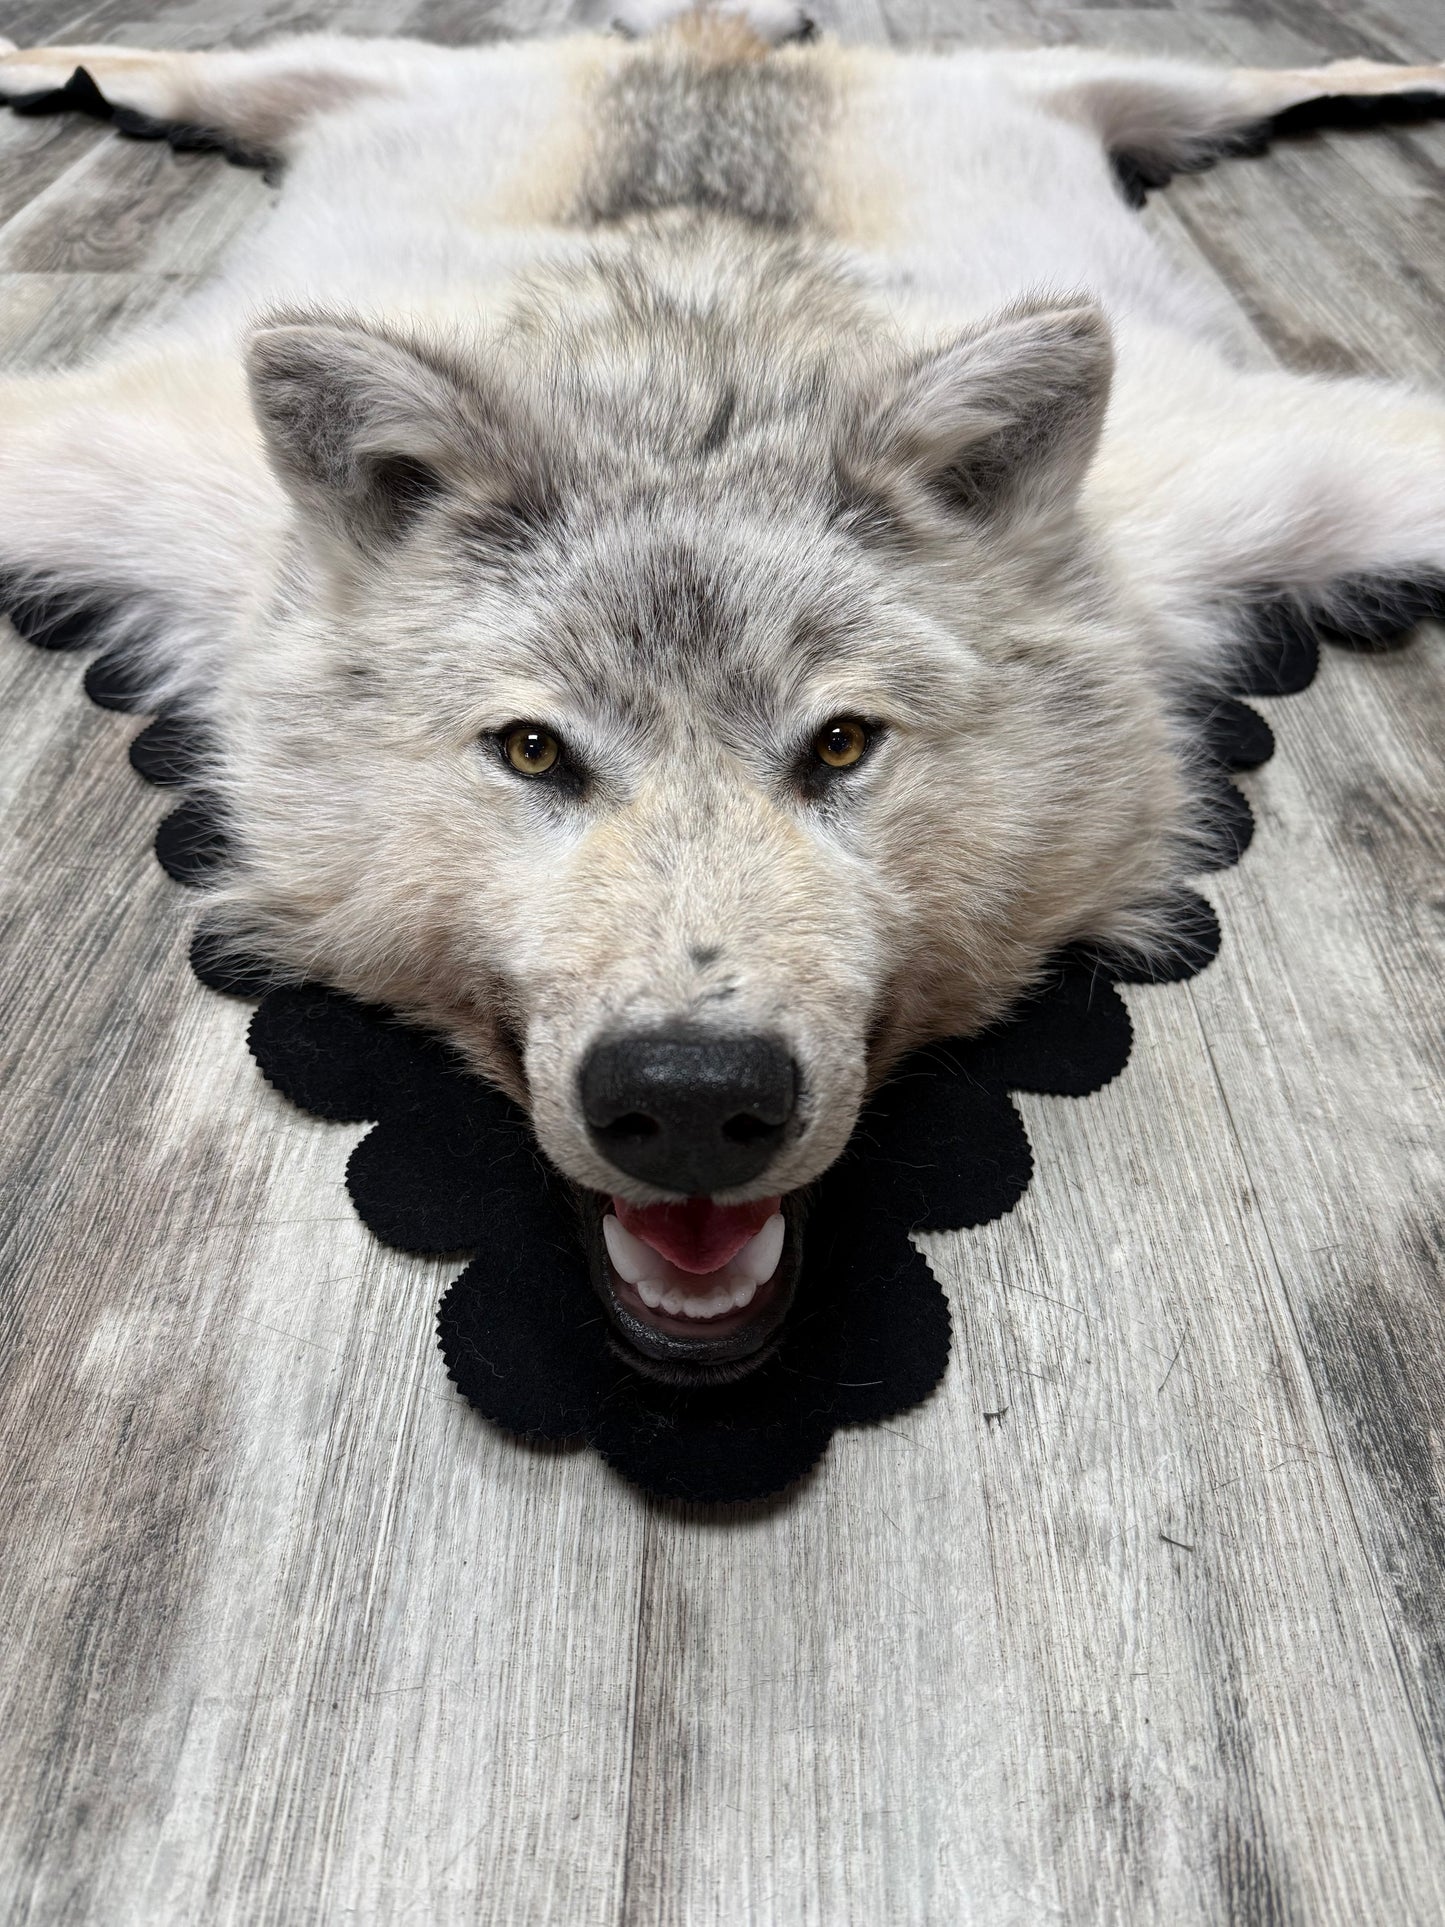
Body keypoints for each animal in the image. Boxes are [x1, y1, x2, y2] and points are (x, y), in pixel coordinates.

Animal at [1, 4, 1442, 1382]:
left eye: (842, 744)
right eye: (533, 751)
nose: (691, 1096)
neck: (691, 375)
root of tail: (717, 32)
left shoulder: (1217, 492)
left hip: (1092, 87)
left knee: (1246, 86)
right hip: (343, 76)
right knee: (181, 76)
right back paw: (43, 62)